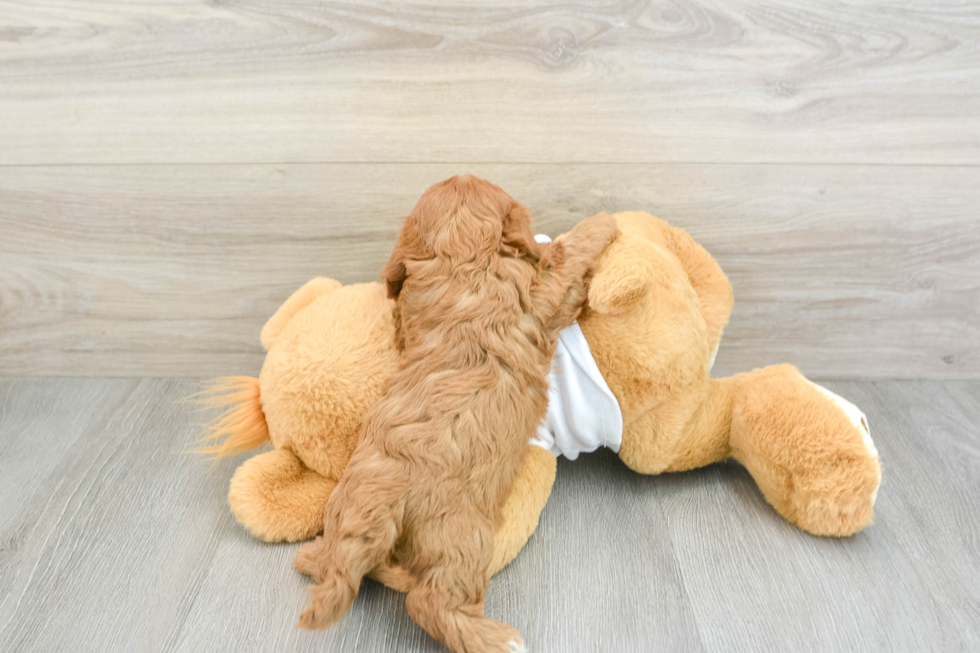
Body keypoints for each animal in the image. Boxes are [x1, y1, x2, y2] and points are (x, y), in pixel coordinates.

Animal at [292, 176, 620, 648]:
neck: (464, 263)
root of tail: (378, 506)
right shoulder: (543, 291)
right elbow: (568, 255)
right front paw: (602, 222)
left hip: (343, 508)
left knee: (332, 557)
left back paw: (312, 556)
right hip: (461, 539)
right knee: (431, 601)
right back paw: (497, 639)